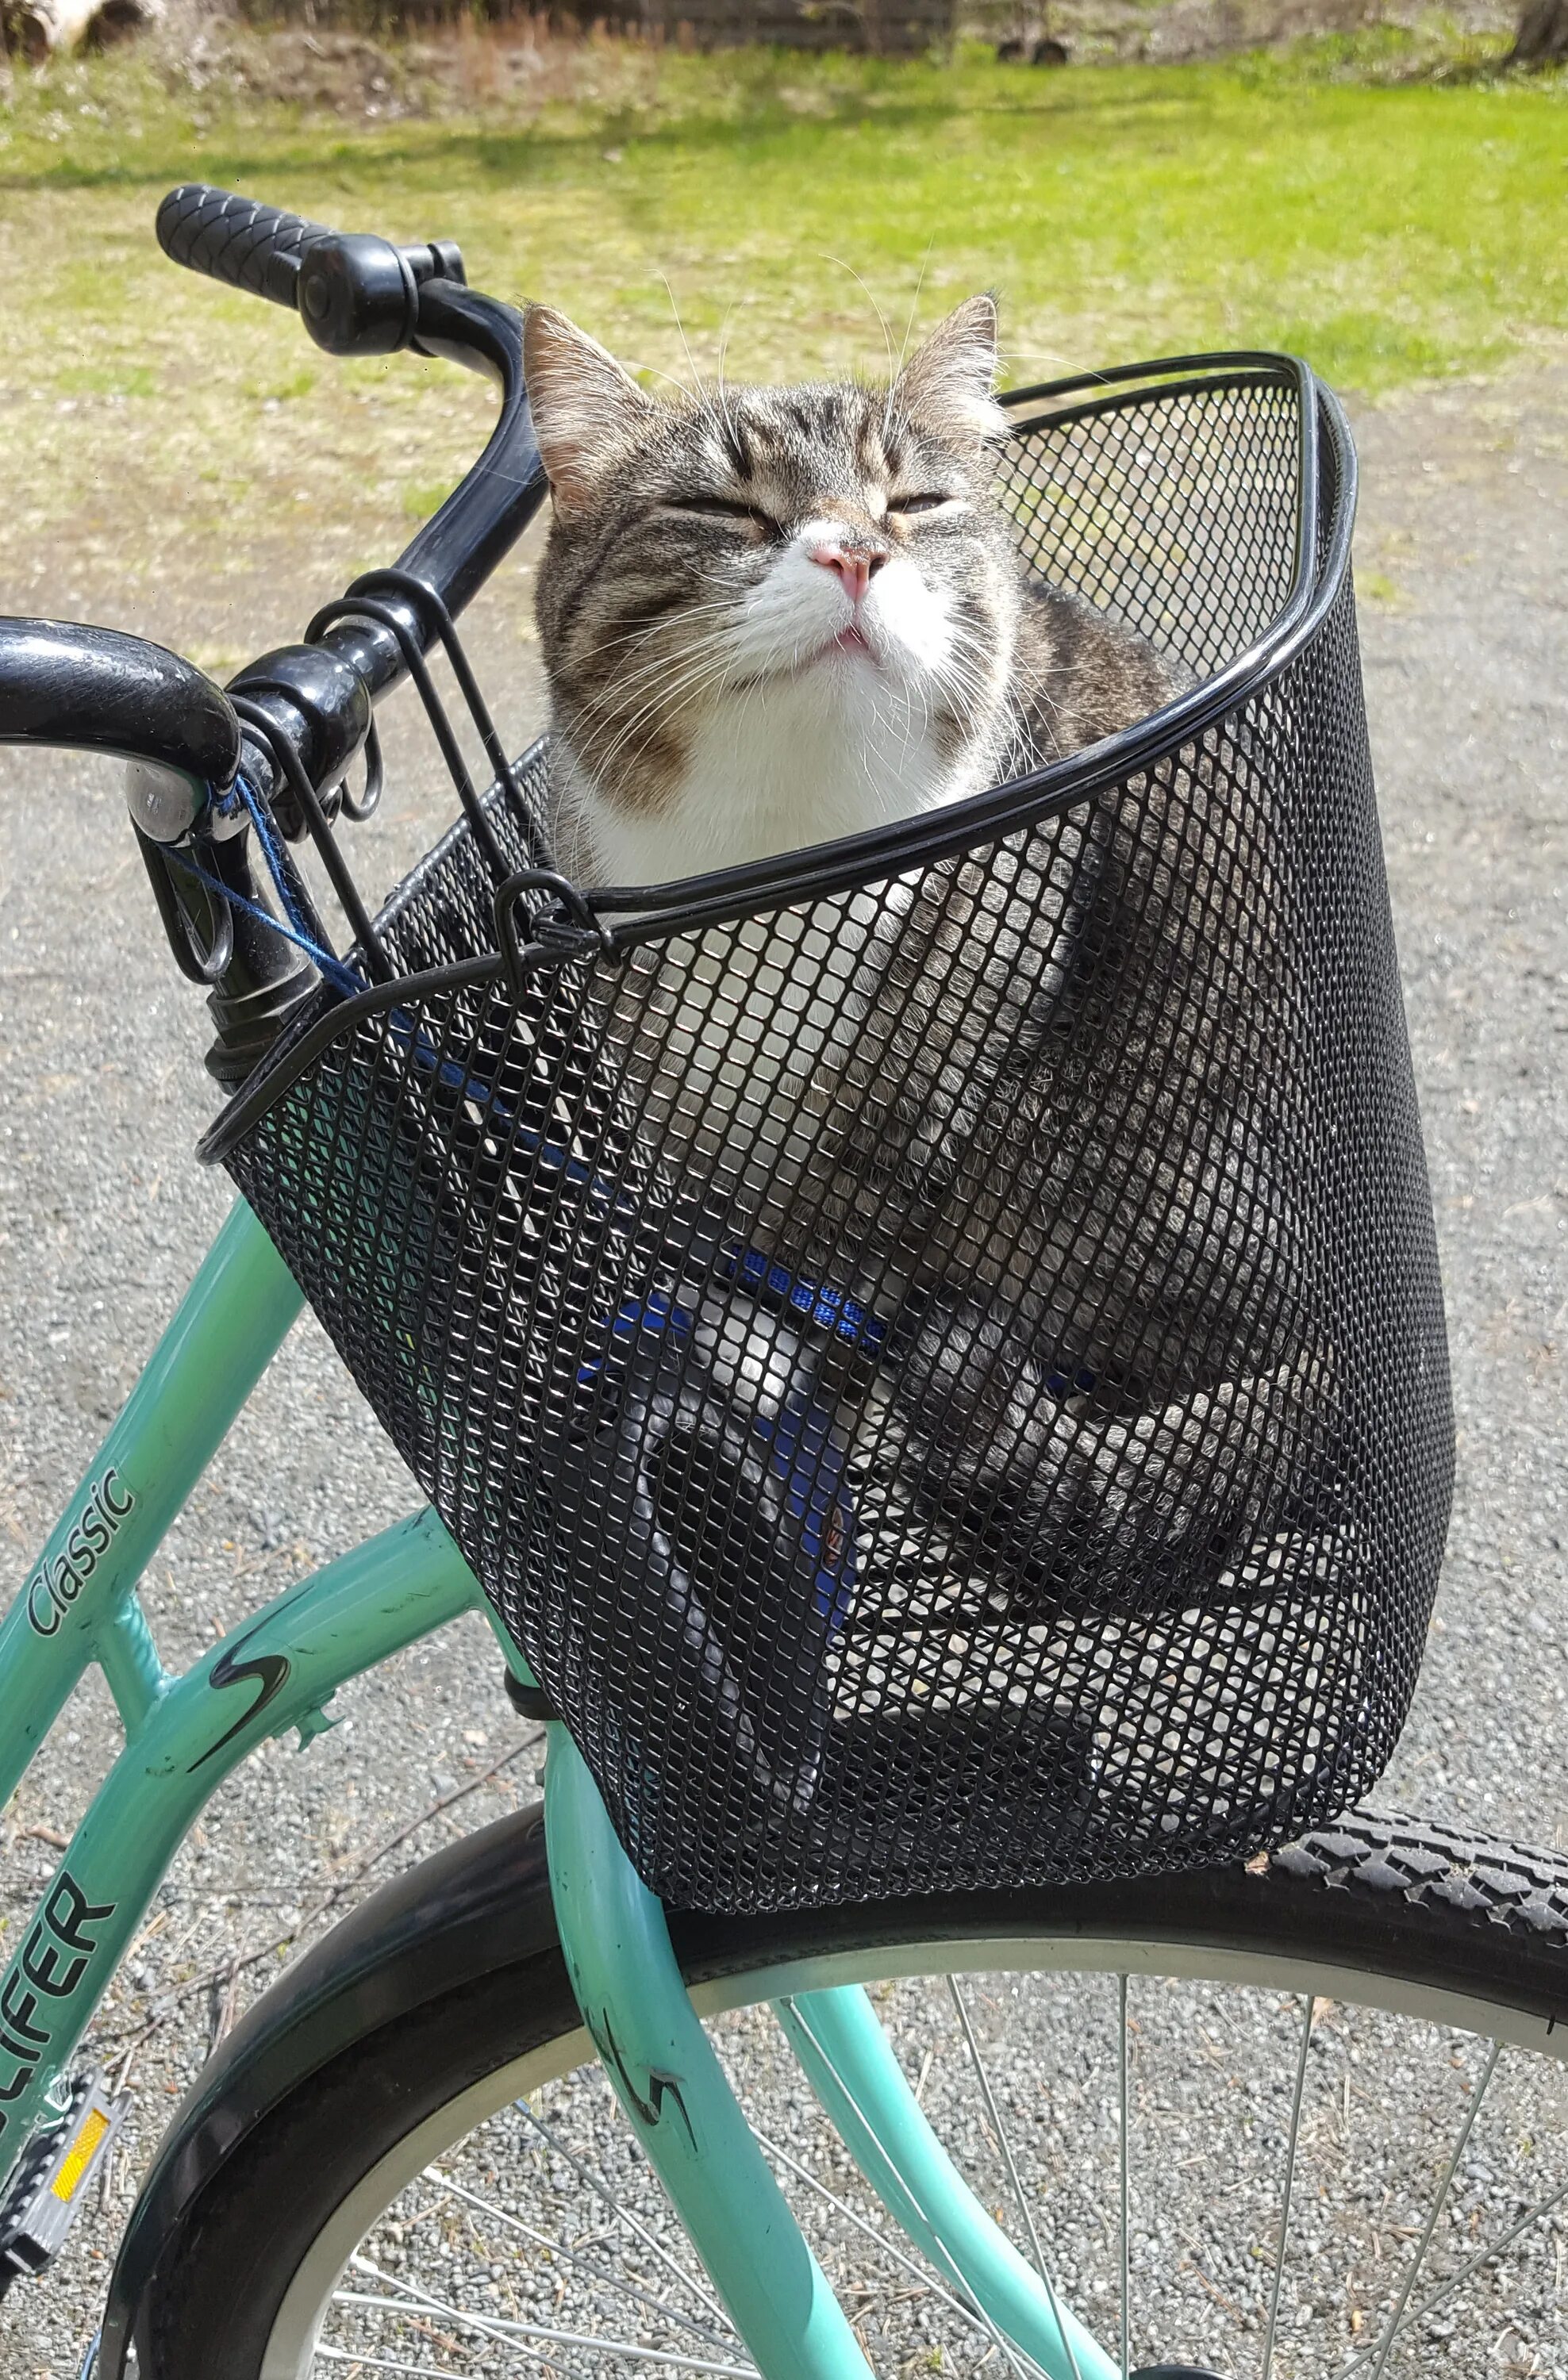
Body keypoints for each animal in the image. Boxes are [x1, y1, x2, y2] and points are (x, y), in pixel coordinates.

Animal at [521, 298, 1323, 1637]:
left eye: (912, 502)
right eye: (723, 509)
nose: (854, 552)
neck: (779, 844)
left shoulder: (925, 1081)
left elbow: (850, 1252)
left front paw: (781, 1369)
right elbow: (738, 1231)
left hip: (1115, 1157)